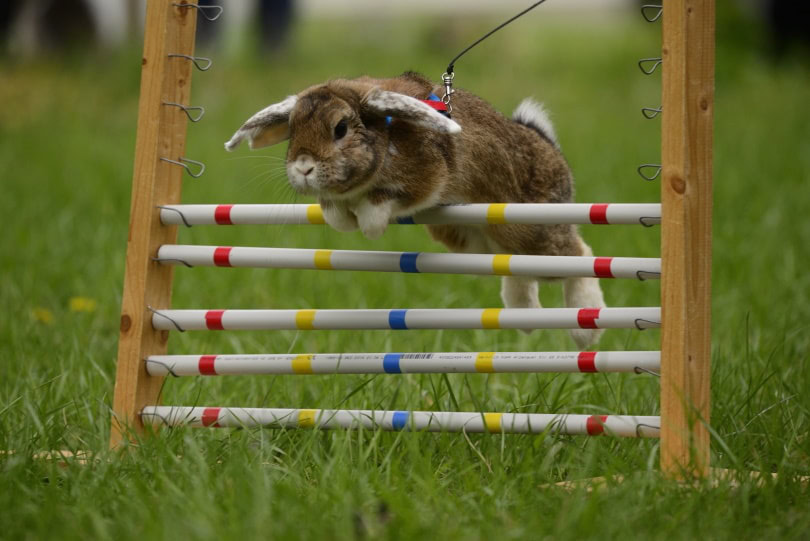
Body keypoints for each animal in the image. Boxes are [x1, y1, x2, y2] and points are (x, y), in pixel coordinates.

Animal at [225, 71, 606, 348]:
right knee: (516, 270)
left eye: (340, 128)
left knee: (578, 255)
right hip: (474, 241)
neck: (384, 132)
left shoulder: (426, 179)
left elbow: (384, 200)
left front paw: (370, 224)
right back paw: (524, 317)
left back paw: (585, 328)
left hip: (529, 230)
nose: (303, 167)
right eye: (292, 131)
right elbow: (335, 209)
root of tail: (549, 147)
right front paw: (342, 218)